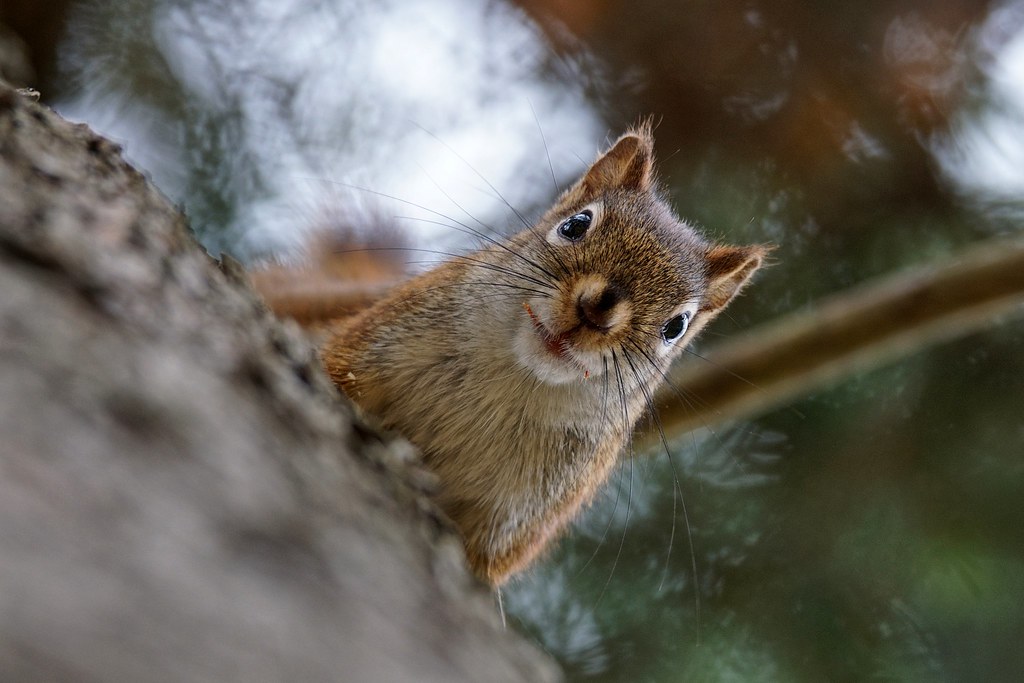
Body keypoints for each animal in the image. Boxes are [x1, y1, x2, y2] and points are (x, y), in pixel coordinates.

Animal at [255, 124, 767, 585]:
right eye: (576, 224)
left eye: (675, 327)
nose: (597, 310)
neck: (512, 382)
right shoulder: (367, 345)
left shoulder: (521, 520)